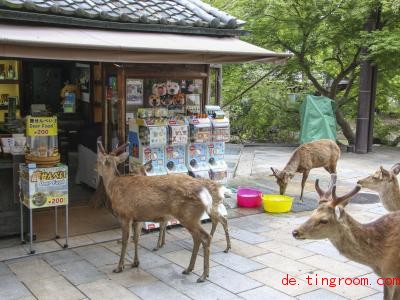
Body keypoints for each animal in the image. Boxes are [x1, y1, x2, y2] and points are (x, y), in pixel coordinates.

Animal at [96, 142, 212, 282]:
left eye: (98, 160)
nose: (95, 169)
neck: (113, 187)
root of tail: (205, 194)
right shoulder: (138, 218)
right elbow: (136, 238)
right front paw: (135, 263)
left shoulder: (125, 215)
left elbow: (125, 241)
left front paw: (119, 267)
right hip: (192, 217)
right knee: (197, 238)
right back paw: (189, 269)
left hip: (188, 216)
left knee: (205, 237)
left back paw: (203, 276)